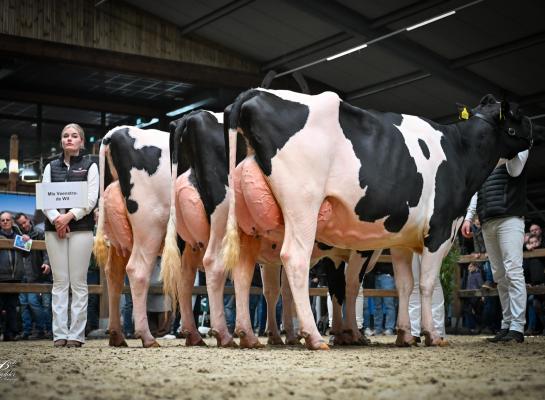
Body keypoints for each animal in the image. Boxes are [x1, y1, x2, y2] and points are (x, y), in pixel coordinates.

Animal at [223, 91, 540, 350]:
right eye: (518, 114)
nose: (536, 129)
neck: (459, 151)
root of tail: (254, 94)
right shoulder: (441, 229)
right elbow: (426, 283)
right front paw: (431, 335)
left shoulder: (400, 239)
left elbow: (404, 285)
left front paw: (405, 335)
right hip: (303, 204)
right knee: (294, 260)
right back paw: (312, 336)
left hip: (248, 224)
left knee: (243, 271)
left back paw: (249, 336)